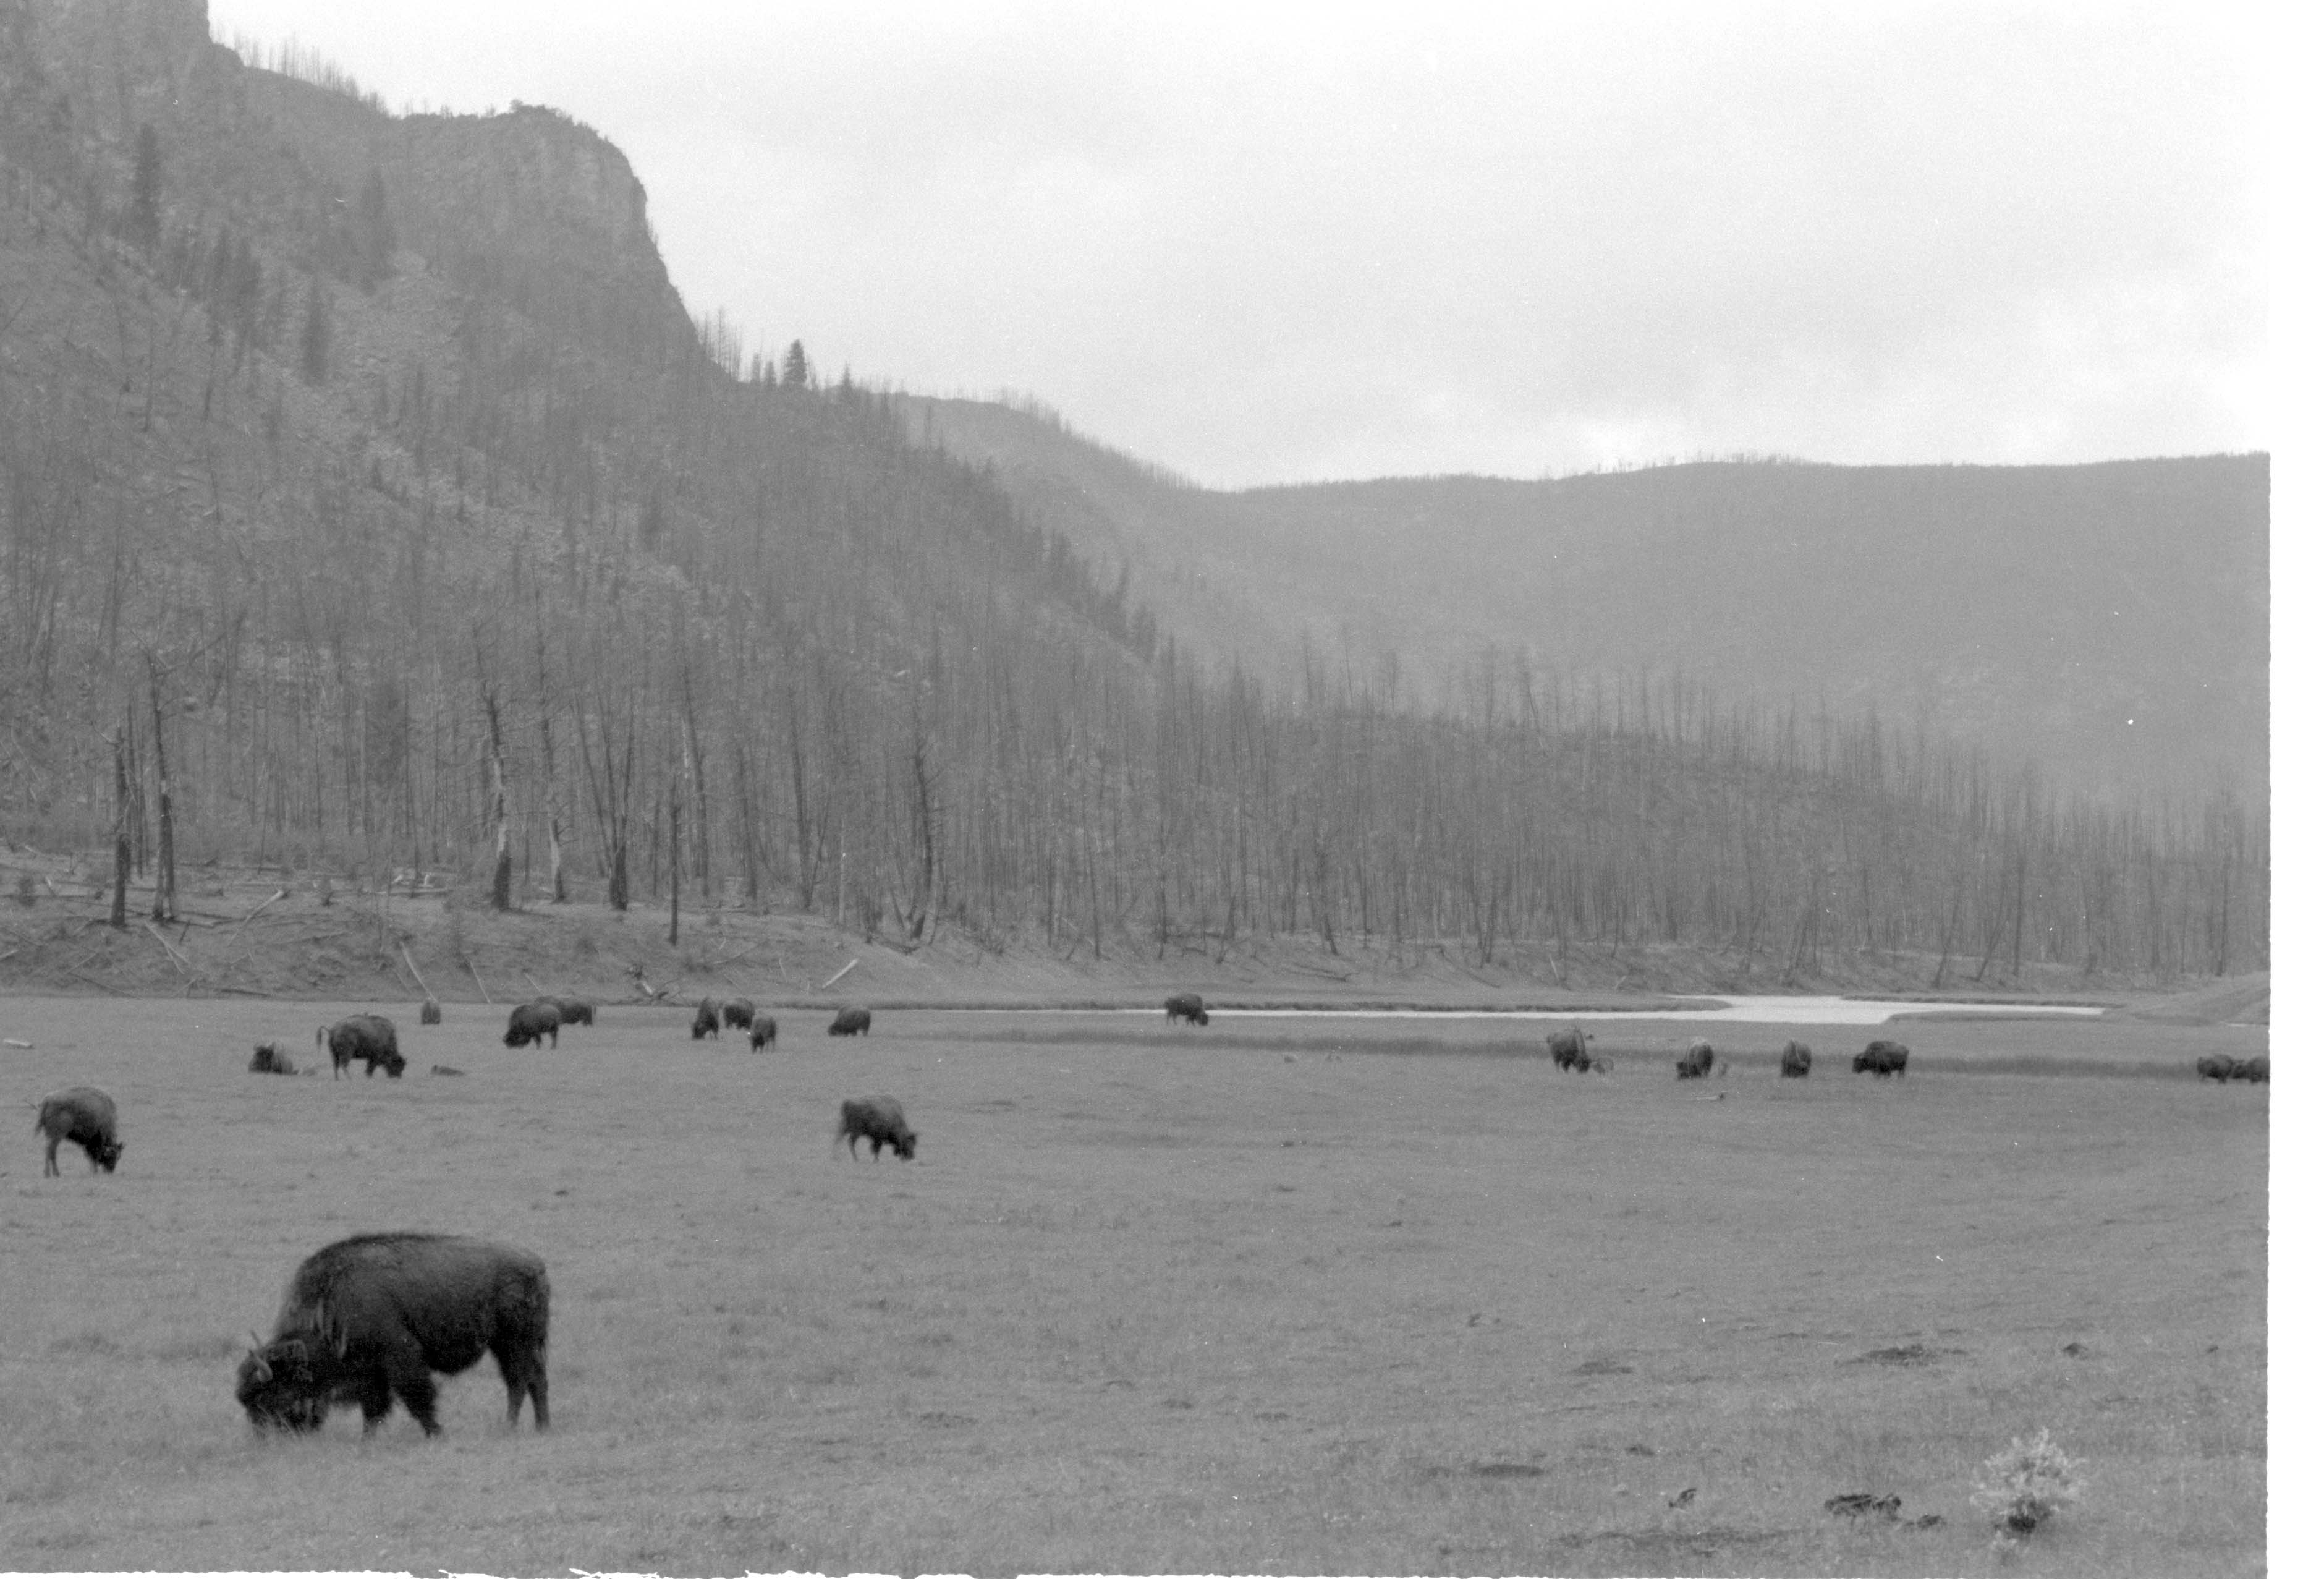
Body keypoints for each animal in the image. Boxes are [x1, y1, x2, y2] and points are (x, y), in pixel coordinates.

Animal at [35, 1086, 123, 1176]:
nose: (110, 1171)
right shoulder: (98, 1138)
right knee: (50, 1150)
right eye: (112, 1156)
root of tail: (48, 1100)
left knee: (51, 1151)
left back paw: (52, 1173)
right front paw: (94, 1171)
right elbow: (94, 1155)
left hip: (51, 1135)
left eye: (119, 1157)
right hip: (57, 1135)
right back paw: (51, 1173)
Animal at [235, 1232, 549, 1438]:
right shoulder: (370, 1373)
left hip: (514, 1343)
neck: (330, 1304)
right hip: (519, 1344)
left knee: (519, 1382)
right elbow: (373, 1408)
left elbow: (416, 1397)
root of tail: (535, 1265)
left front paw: (436, 1433)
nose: (266, 1439)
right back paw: (542, 1426)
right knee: (534, 1380)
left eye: (270, 1395)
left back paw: (511, 1427)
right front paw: (367, 1439)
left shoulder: (401, 1358)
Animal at [317, 1015, 404, 1079]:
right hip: (347, 1053)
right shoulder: (375, 1057)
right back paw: (350, 1079)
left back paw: (337, 1079)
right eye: (397, 1064)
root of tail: (333, 1030)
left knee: (336, 1066)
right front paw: (368, 1077)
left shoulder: (371, 1058)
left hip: (334, 1054)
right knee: (344, 1065)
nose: (398, 1077)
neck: (388, 1038)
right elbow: (370, 1068)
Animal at [835, 1096, 916, 1160]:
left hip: (845, 1128)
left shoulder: (875, 1138)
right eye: (909, 1143)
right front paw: (876, 1160)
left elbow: (874, 1148)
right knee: (851, 1142)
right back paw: (856, 1159)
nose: (911, 1157)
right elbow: (877, 1148)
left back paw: (836, 1157)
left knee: (837, 1140)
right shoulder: (879, 1137)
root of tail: (848, 1103)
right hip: (856, 1132)